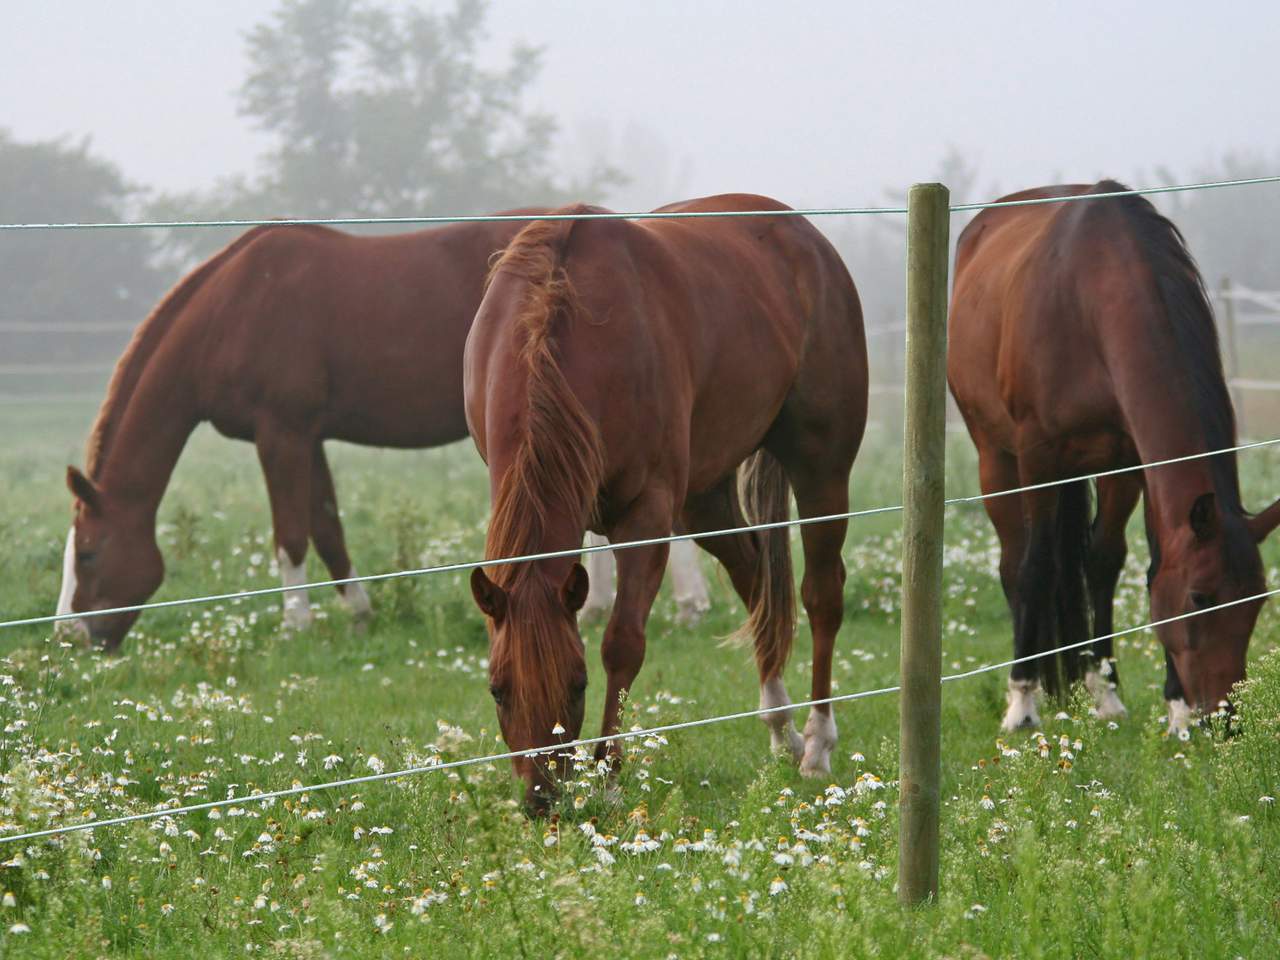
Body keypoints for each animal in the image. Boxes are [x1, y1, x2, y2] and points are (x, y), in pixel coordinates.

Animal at [59, 216, 710, 650]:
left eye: (88, 554)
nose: (72, 635)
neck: (234, 309)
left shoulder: (281, 434)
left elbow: (291, 535)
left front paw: (296, 623)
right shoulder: (307, 437)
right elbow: (327, 527)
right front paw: (359, 612)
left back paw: (688, 605)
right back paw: (599, 604)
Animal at [464, 194, 868, 810]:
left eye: (577, 685)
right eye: (497, 690)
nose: (541, 799)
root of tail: (808, 239)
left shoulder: (646, 517)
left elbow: (622, 644)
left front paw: (608, 776)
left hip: (821, 468)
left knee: (821, 594)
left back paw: (817, 744)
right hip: (704, 497)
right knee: (755, 575)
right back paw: (781, 729)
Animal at [947, 180, 1280, 735]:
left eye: (1256, 602)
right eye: (1200, 598)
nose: (1225, 718)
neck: (1093, 297)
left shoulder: (1131, 461)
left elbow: (1123, 563)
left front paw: (1156, 703)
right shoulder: (1038, 457)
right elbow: (1037, 567)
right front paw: (1022, 702)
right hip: (996, 456)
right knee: (1016, 562)